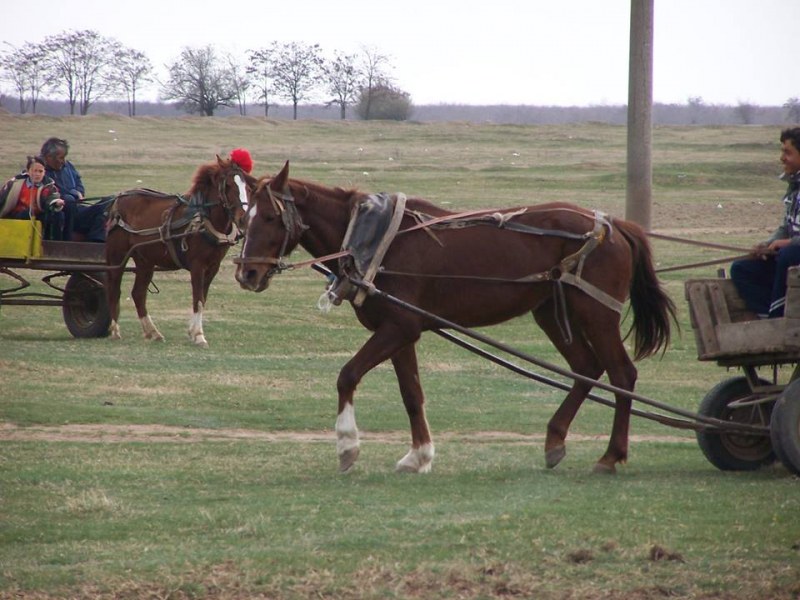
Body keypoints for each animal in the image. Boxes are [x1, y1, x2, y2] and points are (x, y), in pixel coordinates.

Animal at [107, 155, 256, 346]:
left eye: (247, 186)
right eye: (228, 185)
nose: (243, 218)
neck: (204, 219)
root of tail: (118, 199)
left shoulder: (213, 267)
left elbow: (202, 299)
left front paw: (193, 332)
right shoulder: (198, 265)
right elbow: (198, 299)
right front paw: (199, 335)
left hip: (145, 261)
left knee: (138, 293)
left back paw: (152, 332)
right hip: (117, 257)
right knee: (114, 289)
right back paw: (115, 330)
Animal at [236, 163, 676, 474]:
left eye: (271, 218)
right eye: (244, 218)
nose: (246, 274)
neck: (375, 240)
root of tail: (614, 225)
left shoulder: (398, 328)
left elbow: (347, 375)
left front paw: (347, 446)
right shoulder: (401, 332)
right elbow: (411, 394)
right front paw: (419, 456)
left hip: (596, 312)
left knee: (621, 375)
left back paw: (611, 456)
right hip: (551, 313)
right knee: (586, 368)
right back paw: (555, 442)